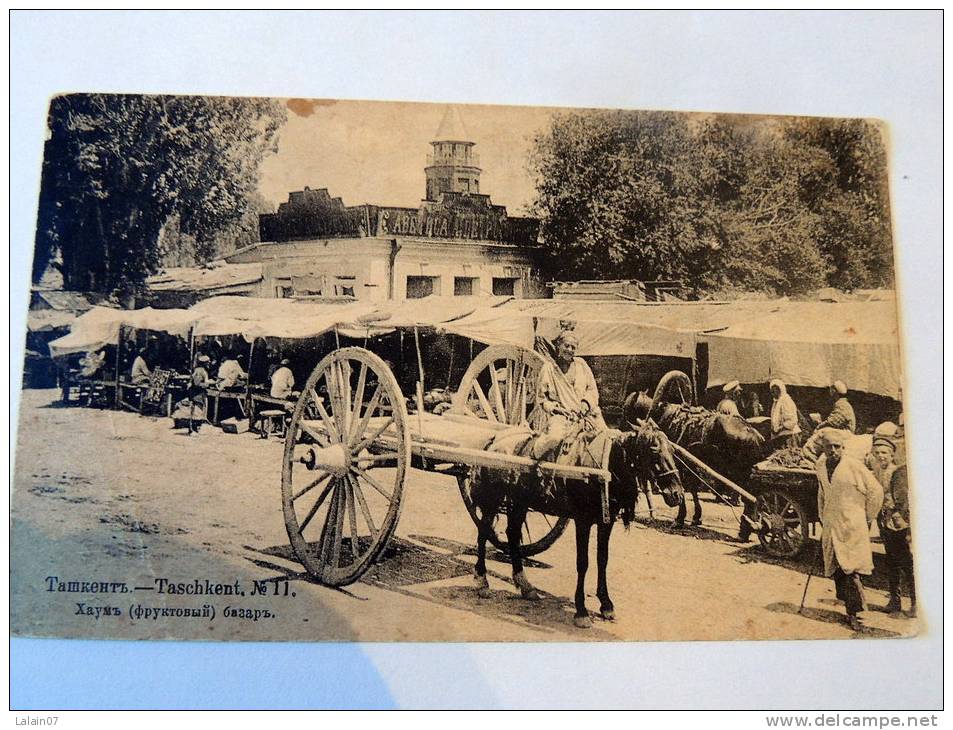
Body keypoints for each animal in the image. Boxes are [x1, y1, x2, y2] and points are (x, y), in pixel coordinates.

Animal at [464, 418, 680, 628]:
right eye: (654, 449)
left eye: (672, 450)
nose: (677, 494)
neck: (604, 468)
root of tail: (495, 441)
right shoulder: (582, 521)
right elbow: (583, 562)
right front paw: (581, 611)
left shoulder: (606, 521)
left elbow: (603, 560)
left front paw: (606, 605)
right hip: (493, 498)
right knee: (483, 532)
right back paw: (482, 581)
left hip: (519, 501)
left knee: (512, 533)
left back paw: (525, 586)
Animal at [624, 372, 768, 528]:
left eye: (628, 405)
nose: (622, 423)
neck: (664, 414)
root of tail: (757, 436)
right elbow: (692, 488)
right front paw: (696, 517)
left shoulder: (681, 464)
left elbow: (687, 487)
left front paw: (681, 518)